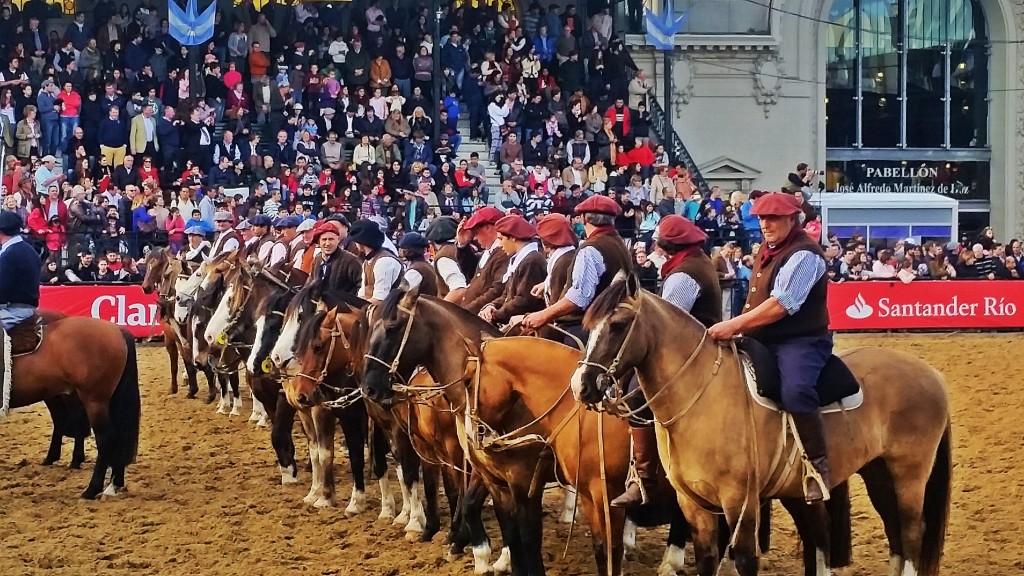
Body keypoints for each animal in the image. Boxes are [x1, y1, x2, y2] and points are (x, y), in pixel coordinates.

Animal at [141, 245, 217, 399]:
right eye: (146, 263)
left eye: (159, 265)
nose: (146, 287)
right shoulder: (177, 337)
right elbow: (183, 362)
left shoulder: (182, 336)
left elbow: (187, 361)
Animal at [573, 272, 946, 573]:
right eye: (589, 326)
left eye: (618, 325)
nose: (582, 385)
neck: (703, 396)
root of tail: (930, 373)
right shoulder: (693, 503)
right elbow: (706, 558)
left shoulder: (740, 502)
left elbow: (744, 558)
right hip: (878, 473)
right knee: (894, 534)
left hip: (909, 475)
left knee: (912, 533)